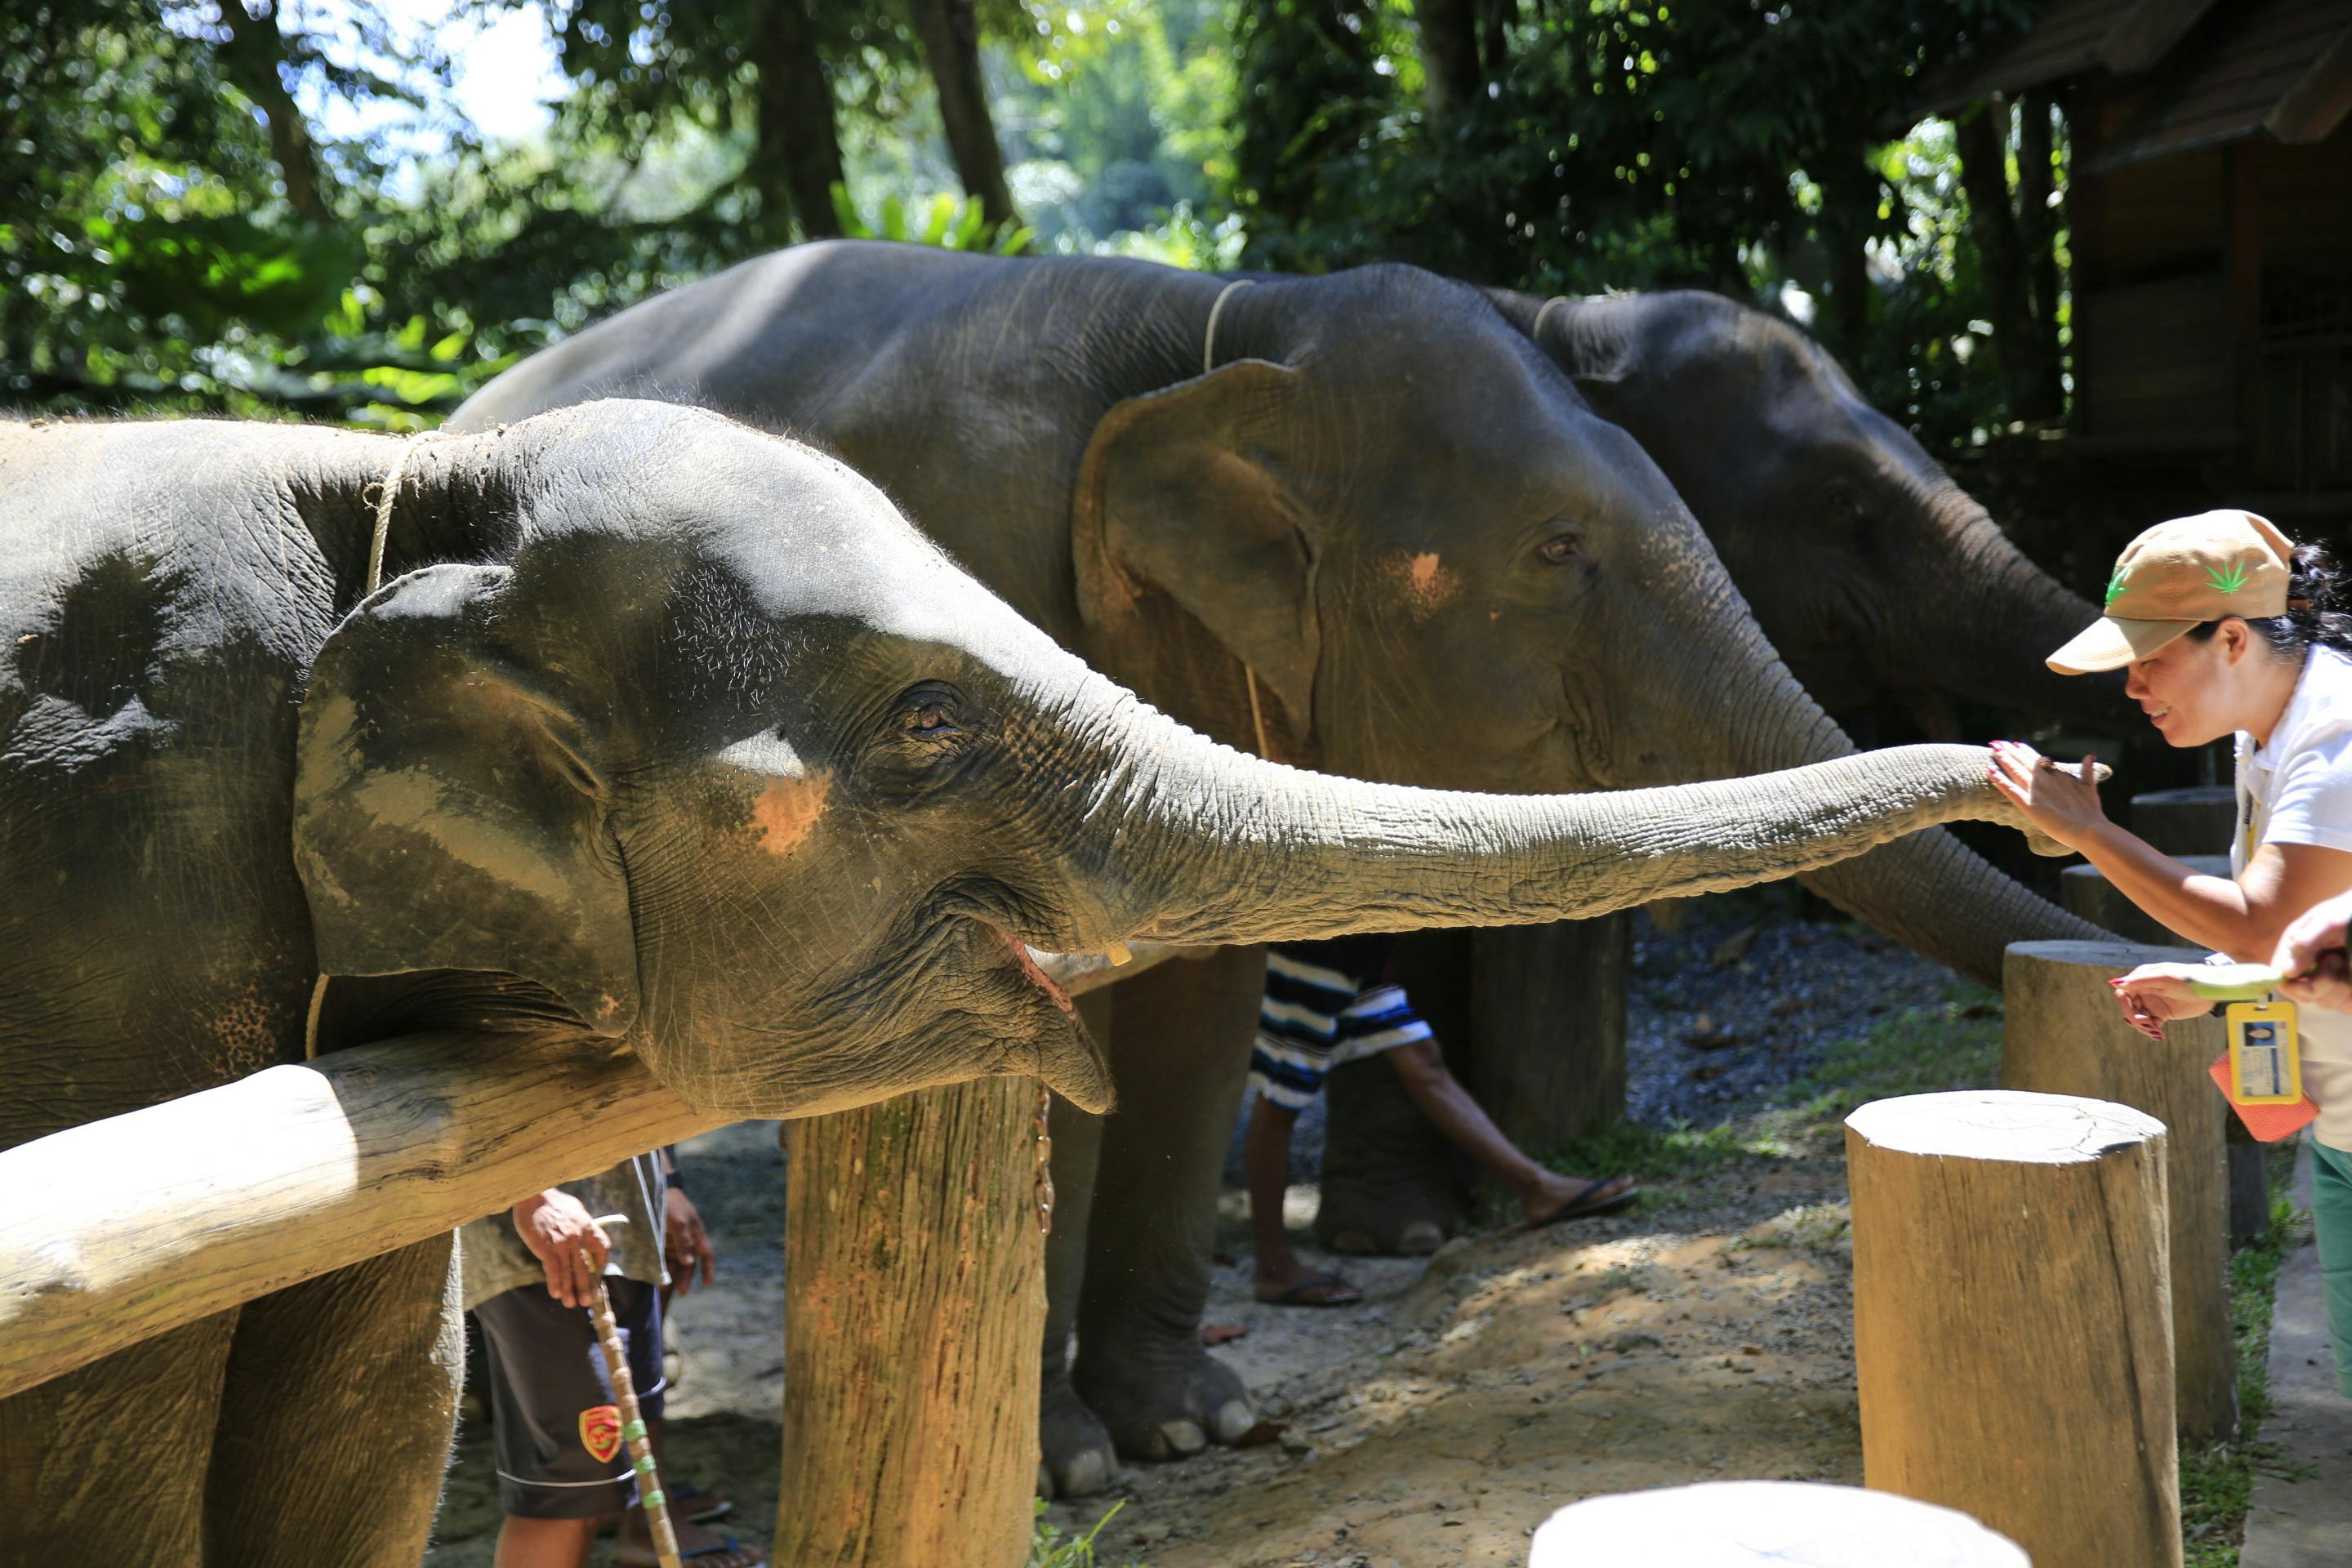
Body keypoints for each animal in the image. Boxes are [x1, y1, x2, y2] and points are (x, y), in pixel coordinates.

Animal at [449, 240, 2106, 1495]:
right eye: (1558, 551)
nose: (2065, 798)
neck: (1224, 325)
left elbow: (1200, 1014)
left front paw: (1199, 1427)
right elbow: (1048, 1026)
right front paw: (1073, 1469)